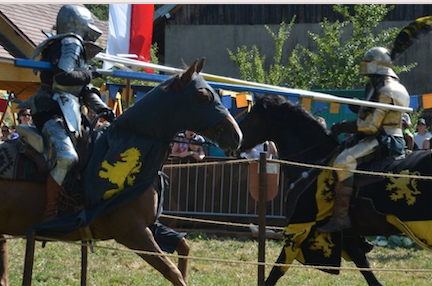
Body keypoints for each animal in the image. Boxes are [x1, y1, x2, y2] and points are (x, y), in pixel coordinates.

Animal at [0, 58, 243, 286]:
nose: (237, 136)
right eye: (203, 97)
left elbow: (183, 247)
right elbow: (173, 272)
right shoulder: (132, 232)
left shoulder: (149, 226)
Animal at [238, 92, 432, 284]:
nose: (236, 142)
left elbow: (276, 271)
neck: (314, 161)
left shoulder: (299, 229)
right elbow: (366, 270)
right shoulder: (348, 237)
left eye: (251, 117)